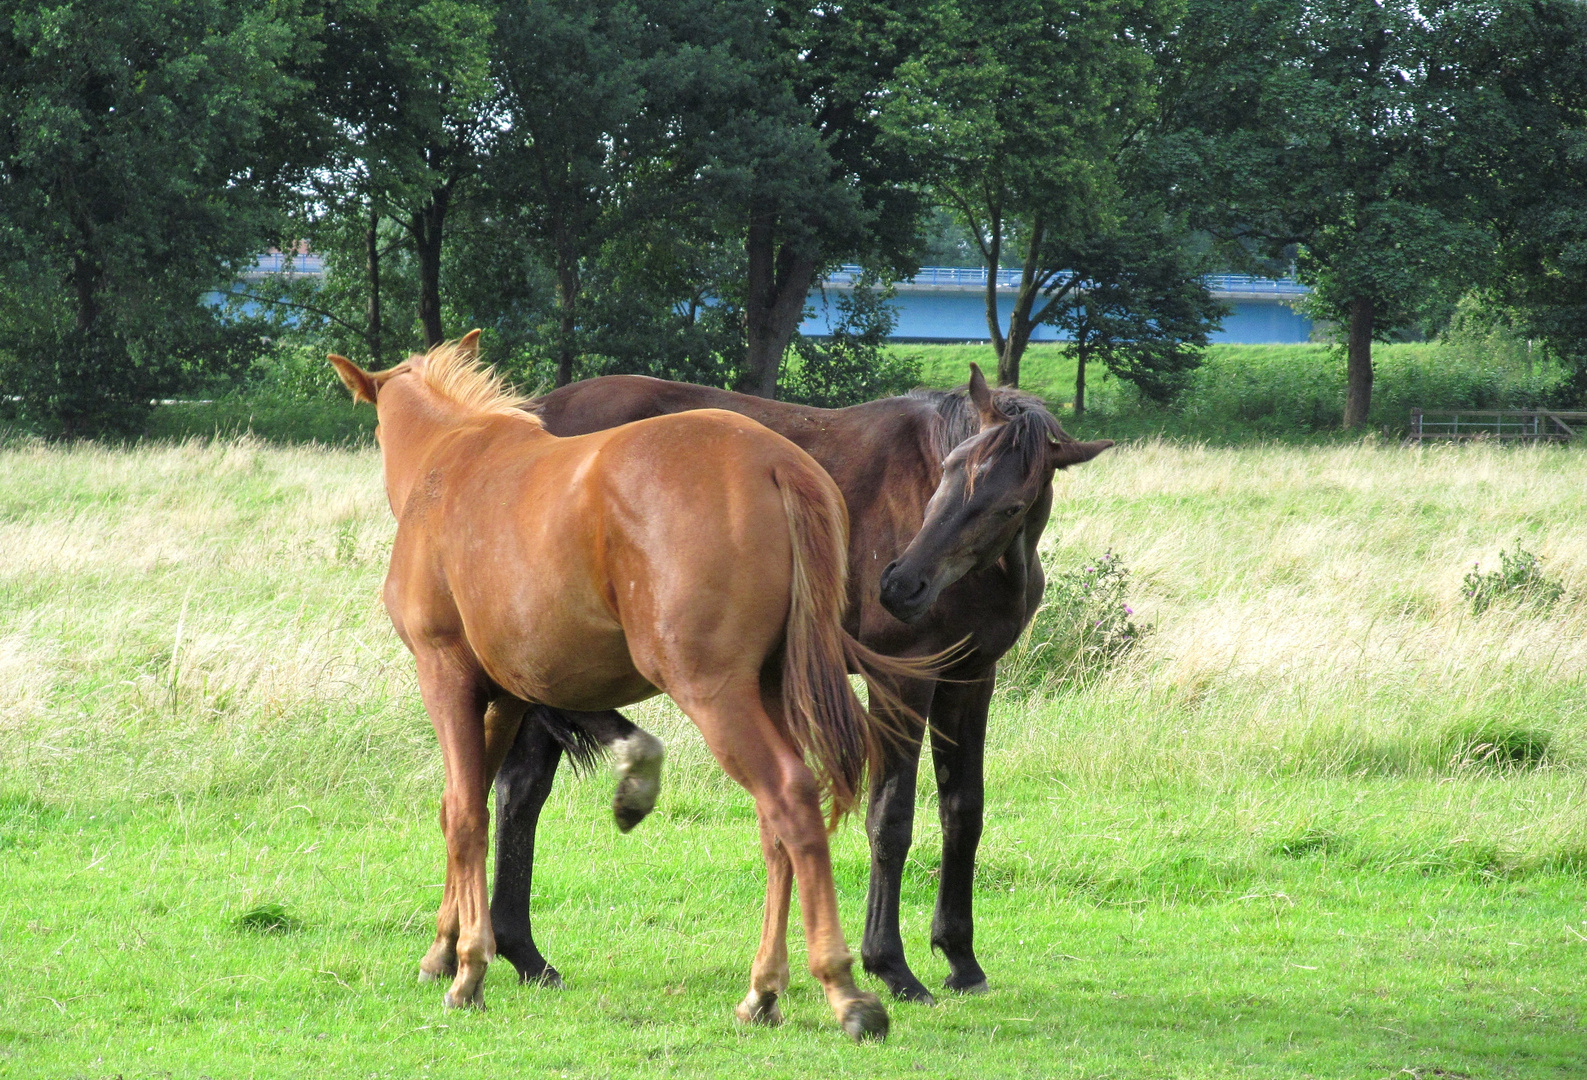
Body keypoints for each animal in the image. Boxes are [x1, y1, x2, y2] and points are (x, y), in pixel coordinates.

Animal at [328, 336, 926, 1034]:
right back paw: (762, 990)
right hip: (769, 690)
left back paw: (843, 989)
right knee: (774, 825)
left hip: (715, 694)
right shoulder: (504, 698)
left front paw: (469, 967)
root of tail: (777, 464)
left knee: (791, 800)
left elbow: (468, 816)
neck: (447, 460)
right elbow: (464, 803)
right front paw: (443, 950)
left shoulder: (444, 676)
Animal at [495, 361, 1117, 1002]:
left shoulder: (970, 678)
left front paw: (961, 959)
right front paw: (891, 966)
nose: (901, 587)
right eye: (946, 471)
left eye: (1011, 506)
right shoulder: (901, 681)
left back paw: (524, 956)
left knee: (518, 792)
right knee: (521, 793)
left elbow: (963, 812)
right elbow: (890, 819)